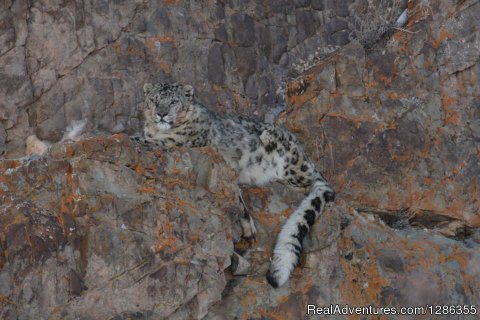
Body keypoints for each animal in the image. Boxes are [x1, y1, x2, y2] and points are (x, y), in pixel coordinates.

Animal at [135, 82, 336, 288]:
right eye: (154, 100)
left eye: (174, 101)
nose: (161, 113)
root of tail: (305, 156)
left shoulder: (179, 141)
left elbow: (147, 139)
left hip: (293, 163)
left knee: (308, 183)